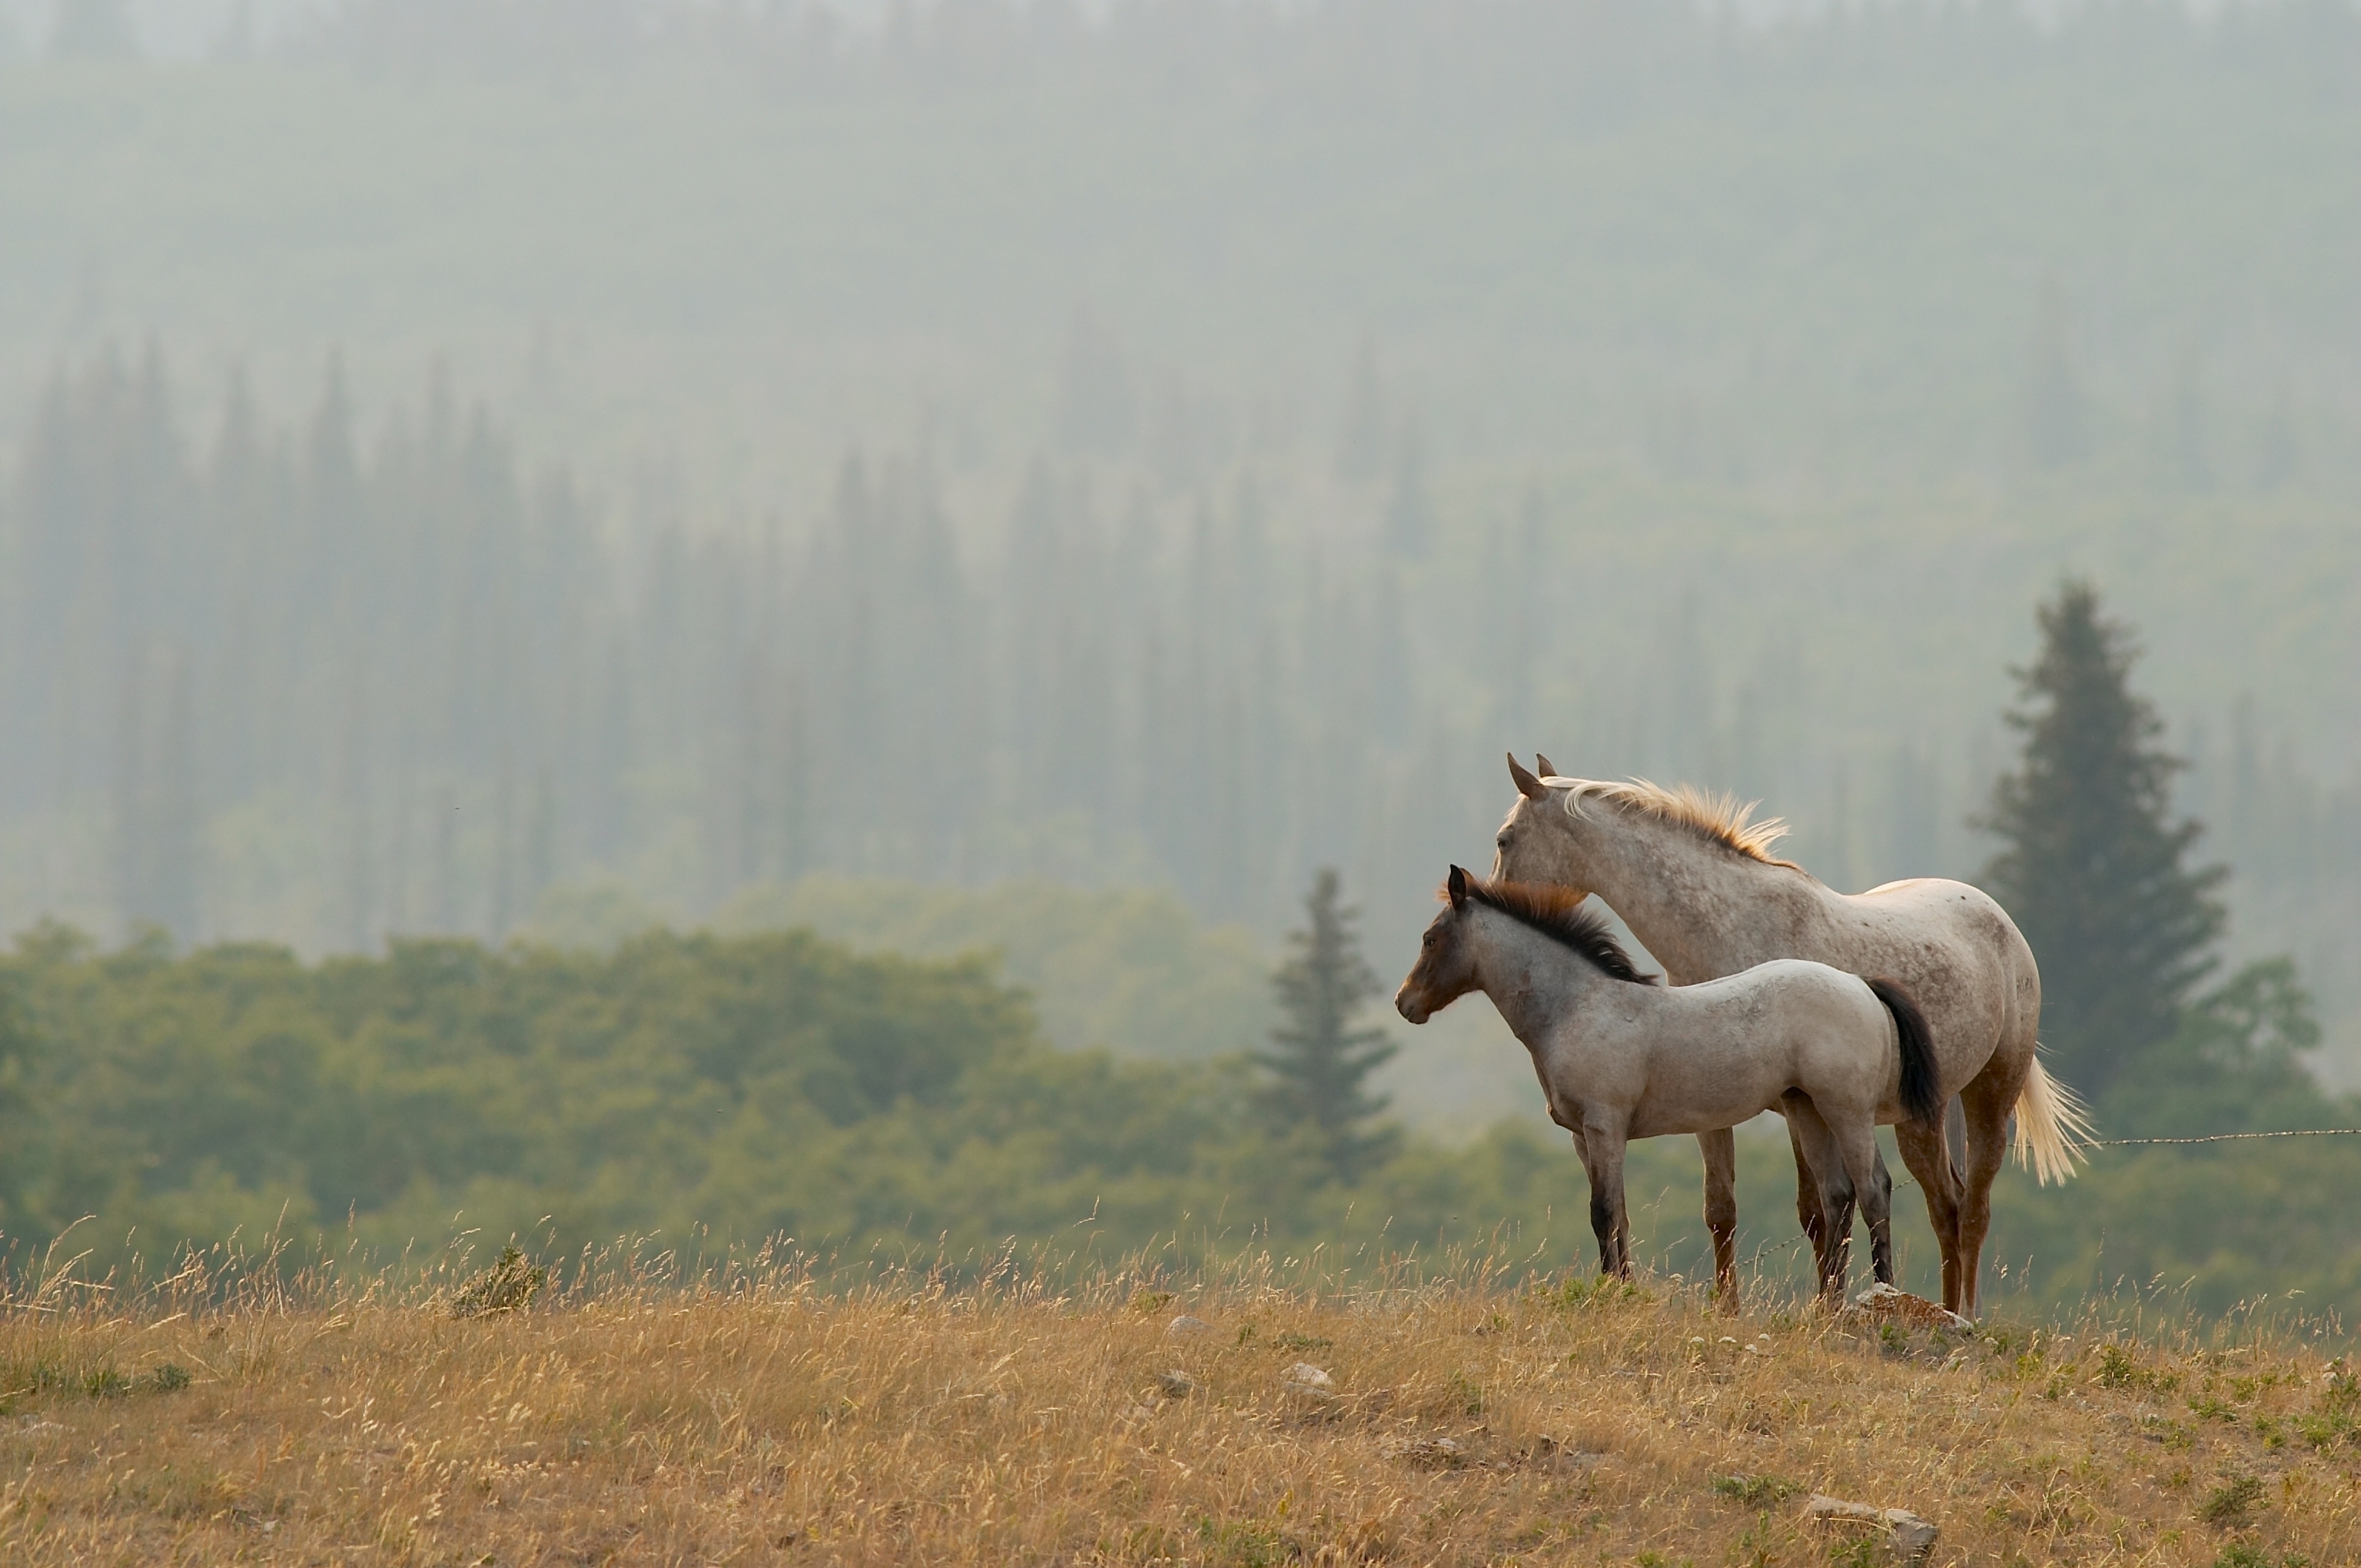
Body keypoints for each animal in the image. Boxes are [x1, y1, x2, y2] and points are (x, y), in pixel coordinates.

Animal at [1397, 864, 1936, 1303]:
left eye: (1430, 939)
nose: (1405, 1004)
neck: (1576, 1008)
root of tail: (1861, 984)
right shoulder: (1583, 1139)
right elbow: (1618, 1215)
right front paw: (1622, 1290)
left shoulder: (1604, 1127)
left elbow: (1603, 1212)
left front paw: (1613, 1296)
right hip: (1807, 1109)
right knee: (1837, 1196)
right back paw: (1826, 1309)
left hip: (1848, 1111)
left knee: (1873, 1190)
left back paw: (1881, 1297)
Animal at [1492, 756, 2087, 1313]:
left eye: (1504, 839)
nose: (1491, 900)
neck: (1731, 925)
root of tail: (1999, 919)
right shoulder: (1723, 1107)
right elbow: (1727, 1208)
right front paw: (1733, 1309)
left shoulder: (1800, 1106)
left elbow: (1824, 1209)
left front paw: (1828, 1303)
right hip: (1924, 1115)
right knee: (1948, 1205)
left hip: (1985, 1097)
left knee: (1970, 1210)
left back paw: (1961, 1315)